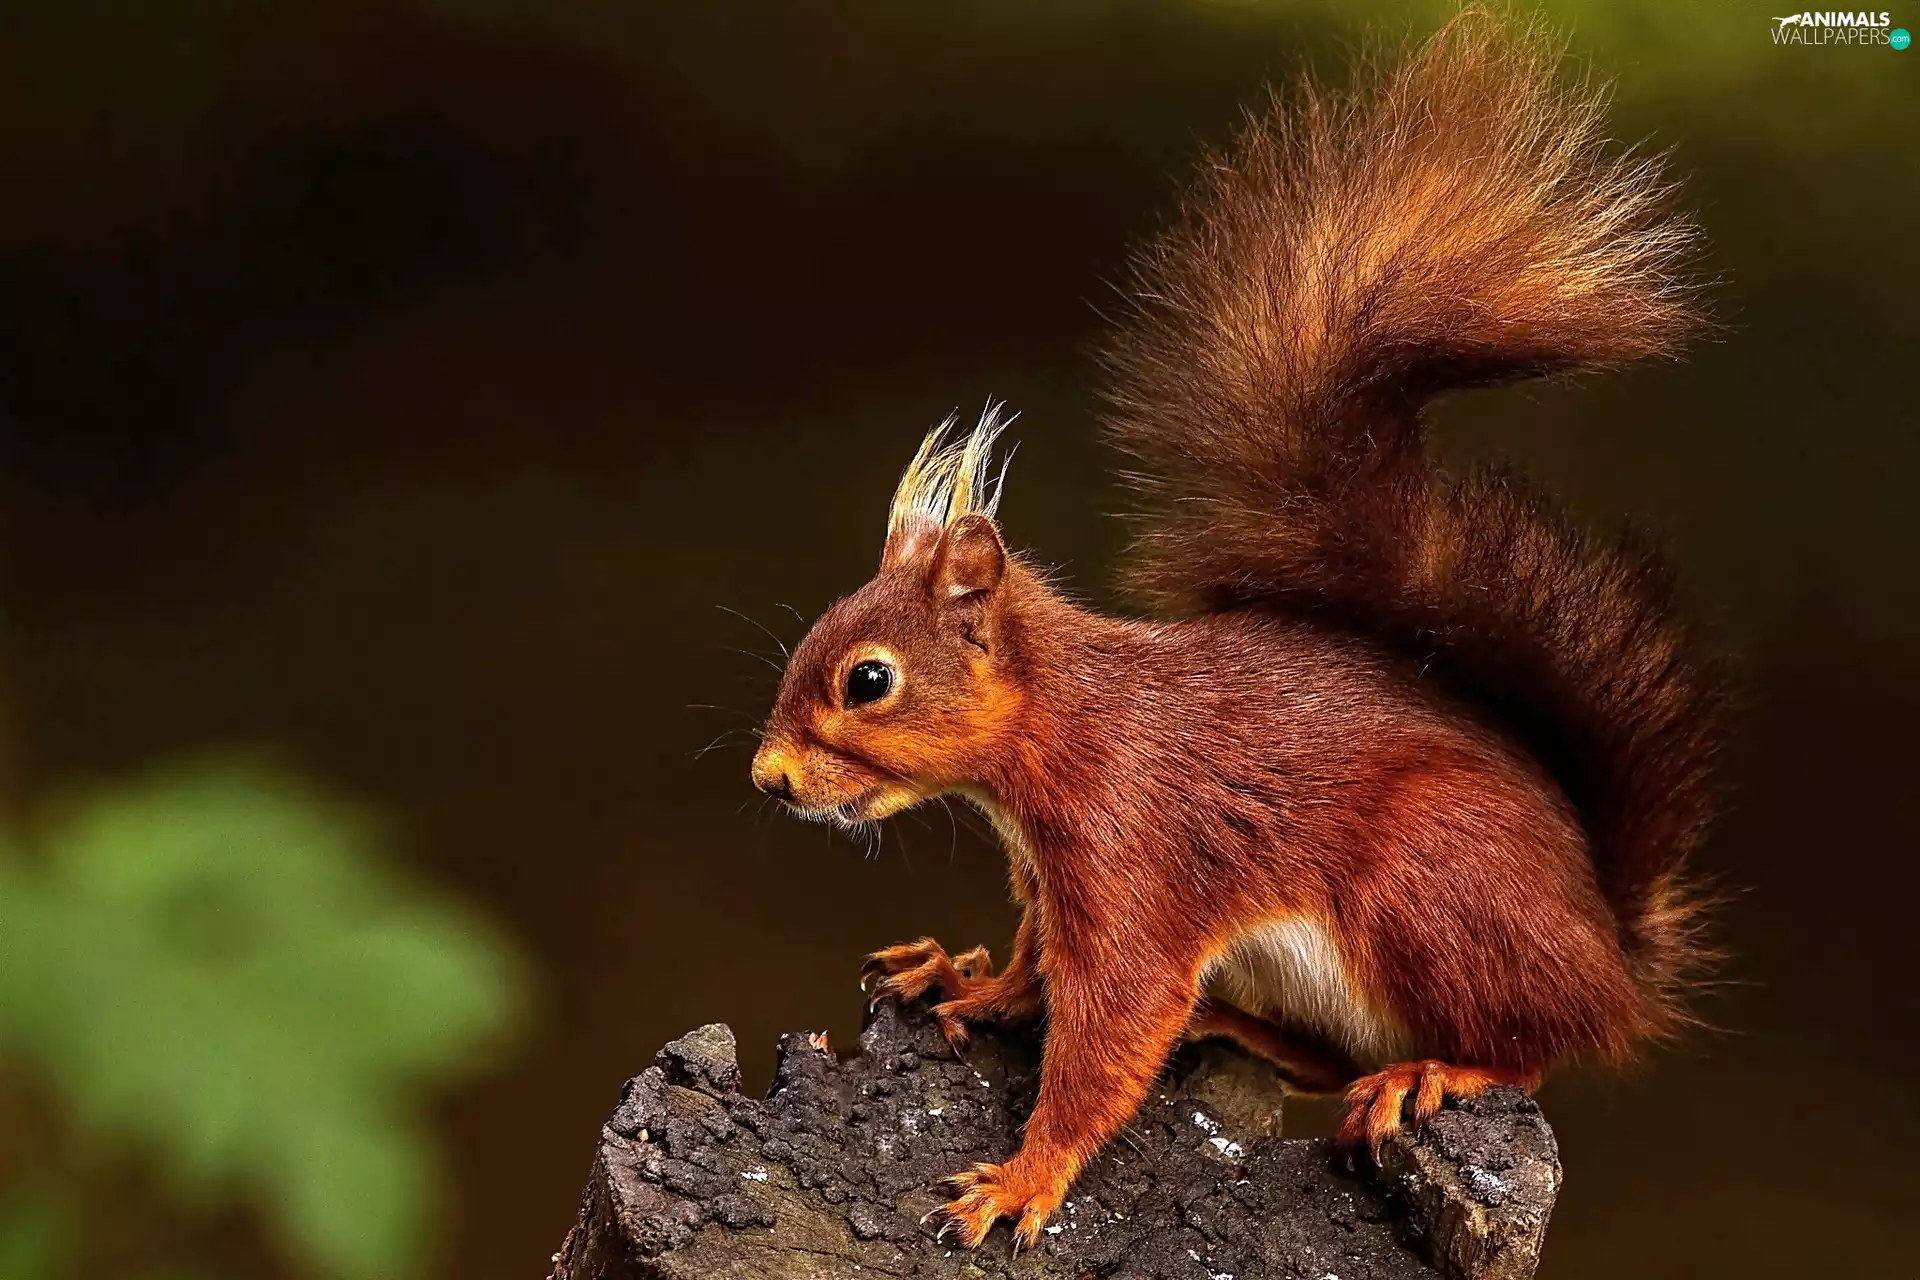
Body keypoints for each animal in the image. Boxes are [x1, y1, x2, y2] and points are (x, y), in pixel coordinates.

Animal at [750, 11, 1724, 1251]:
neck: (1061, 731)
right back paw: (1240, 1029)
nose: (768, 776)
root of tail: (1611, 953)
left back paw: (1436, 1071)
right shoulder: (1053, 882)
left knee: (1530, 1048)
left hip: (1431, 891)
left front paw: (1022, 1178)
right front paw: (967, 982)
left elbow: (1109, 1031)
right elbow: (1036, 966)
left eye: (868, 679)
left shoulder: (1136, 857)